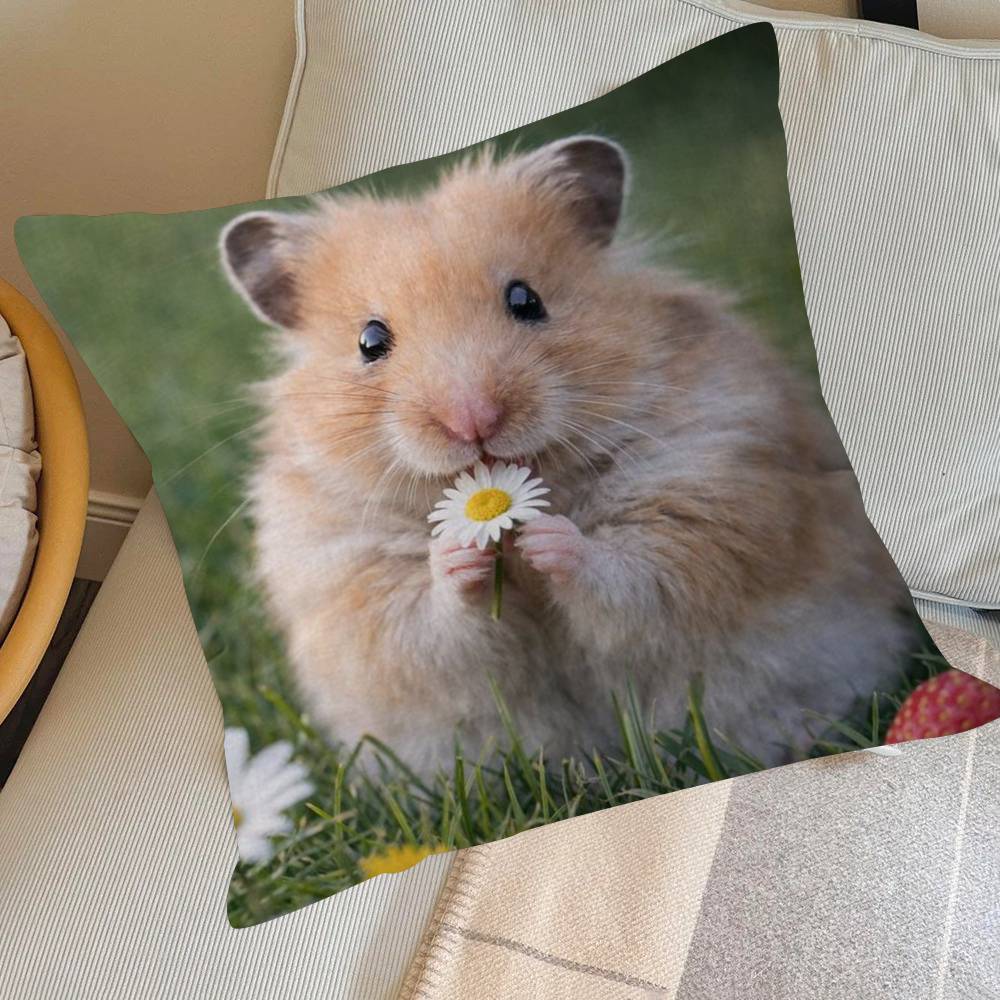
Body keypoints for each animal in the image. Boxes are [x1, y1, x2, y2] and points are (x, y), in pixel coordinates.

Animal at [221, 136, 913, 776]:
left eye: (526, 299)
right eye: (370, 341)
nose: (473, 420)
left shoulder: (708, 488)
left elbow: (629, 572)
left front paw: (548, 538)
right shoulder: (349, 581)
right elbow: (428, 625)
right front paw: (461, 553)